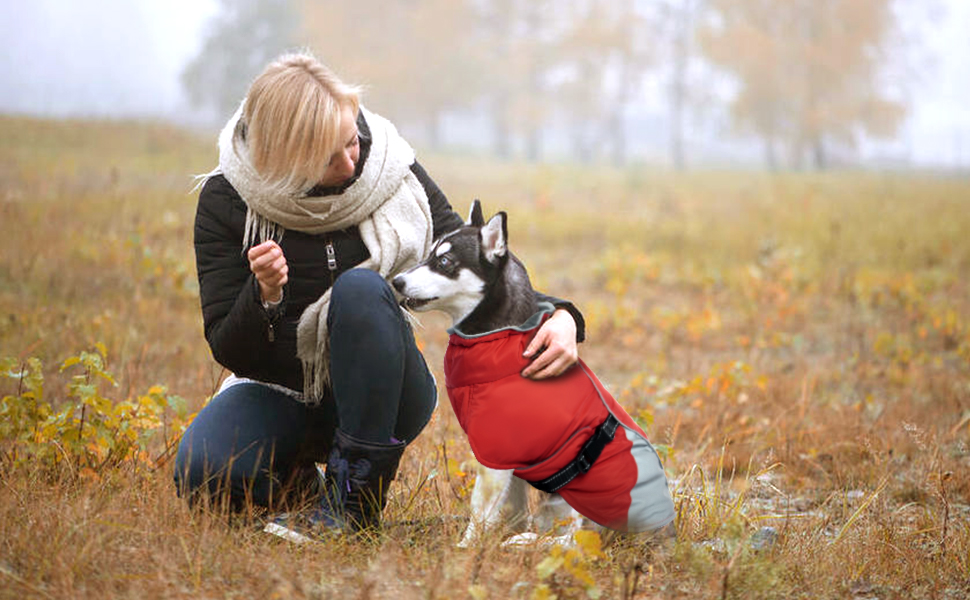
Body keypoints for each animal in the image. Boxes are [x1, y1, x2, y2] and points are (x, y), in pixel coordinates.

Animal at [394, 200, 672, 540]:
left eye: (444, 261)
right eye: (429, 253)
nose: (397, 280)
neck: (498, 336)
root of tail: (661, 529)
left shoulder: (495, 453)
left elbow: (480, 510)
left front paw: (469, 546)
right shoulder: (511, 461)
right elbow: (513, 507)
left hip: (574, 498)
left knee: (573, 538)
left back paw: (526, 542)